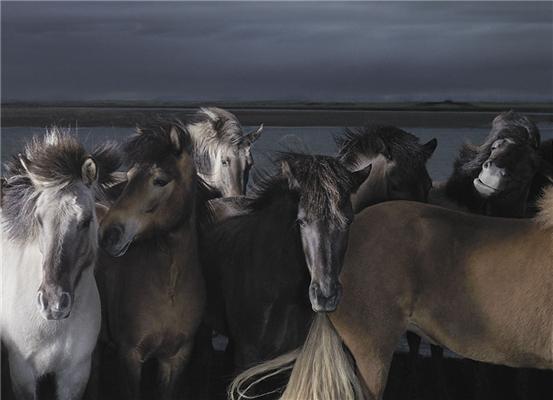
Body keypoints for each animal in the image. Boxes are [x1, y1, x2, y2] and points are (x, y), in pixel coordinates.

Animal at [0, 129, 119, 400]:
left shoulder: (75, 375)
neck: (51, 327)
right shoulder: (21, 373)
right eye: (38, 219)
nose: (53, 303)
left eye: (86, 220)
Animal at [97, 123, 205, 398]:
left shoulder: (175, 359)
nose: (108, 234)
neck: (170, 287)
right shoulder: (130, 356)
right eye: (129, 176)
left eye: (160, 180)